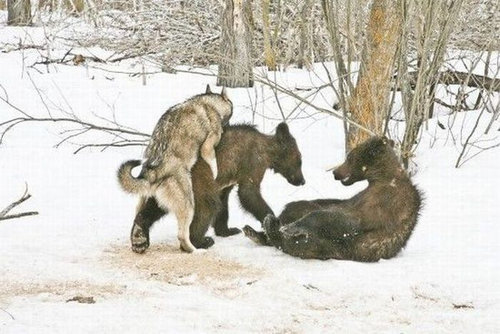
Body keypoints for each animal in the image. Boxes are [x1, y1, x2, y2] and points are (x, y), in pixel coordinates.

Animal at [244, 136, 424, 260]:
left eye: (349, 157)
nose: (335, 172)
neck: (383, 177)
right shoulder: (361, 195)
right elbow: (335, 203)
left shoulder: (385, 199)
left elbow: (350, 219)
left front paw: (291, 227)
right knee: (298, 209)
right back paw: (260, 229)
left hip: (337, 247)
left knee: (304, 243)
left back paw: (274, 229)